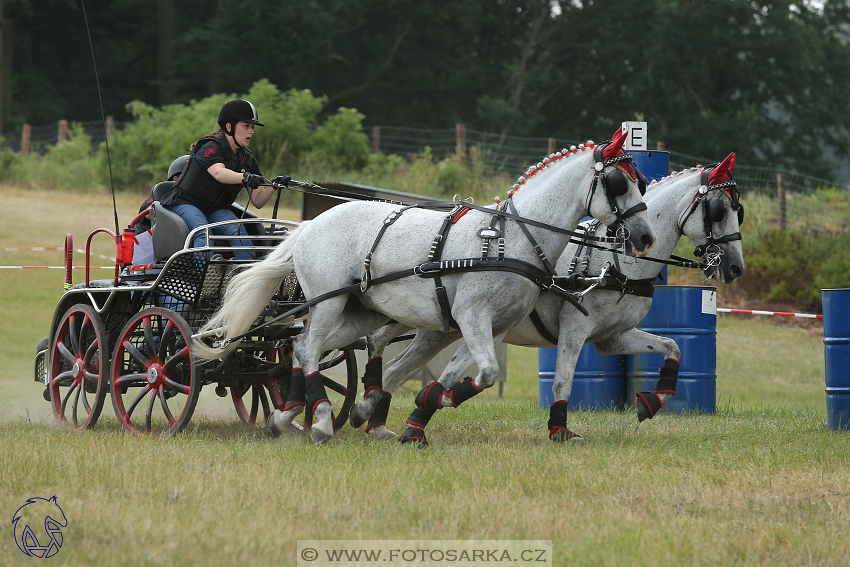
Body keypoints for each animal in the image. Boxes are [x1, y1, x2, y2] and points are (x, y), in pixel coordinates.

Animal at [194, 126, 656, 442]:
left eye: (640, 181)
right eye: (619, 183)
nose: (646, 237)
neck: (512, 237)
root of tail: (310, 224)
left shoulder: (494, 326)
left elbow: (469, 373)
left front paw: (400, 407)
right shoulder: (472, 316)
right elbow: (485, 374)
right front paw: (426, 405)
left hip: (361, 311)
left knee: (302, 347)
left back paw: (287, 415)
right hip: (328, 301)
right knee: (307, 348)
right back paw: (321, 419)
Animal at [354, 153, 744, 446]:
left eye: (738, 210)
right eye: (718, 211)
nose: (735, 267)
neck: (615, 263)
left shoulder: (611, 338)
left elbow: (672, 347)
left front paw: (650, 402)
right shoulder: (575, 328)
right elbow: (563, 380)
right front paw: (560, 429)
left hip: (438, 328)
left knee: (395, 367)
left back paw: (376, 418)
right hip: (401, 312)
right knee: (376, 342)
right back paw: (370, 407)